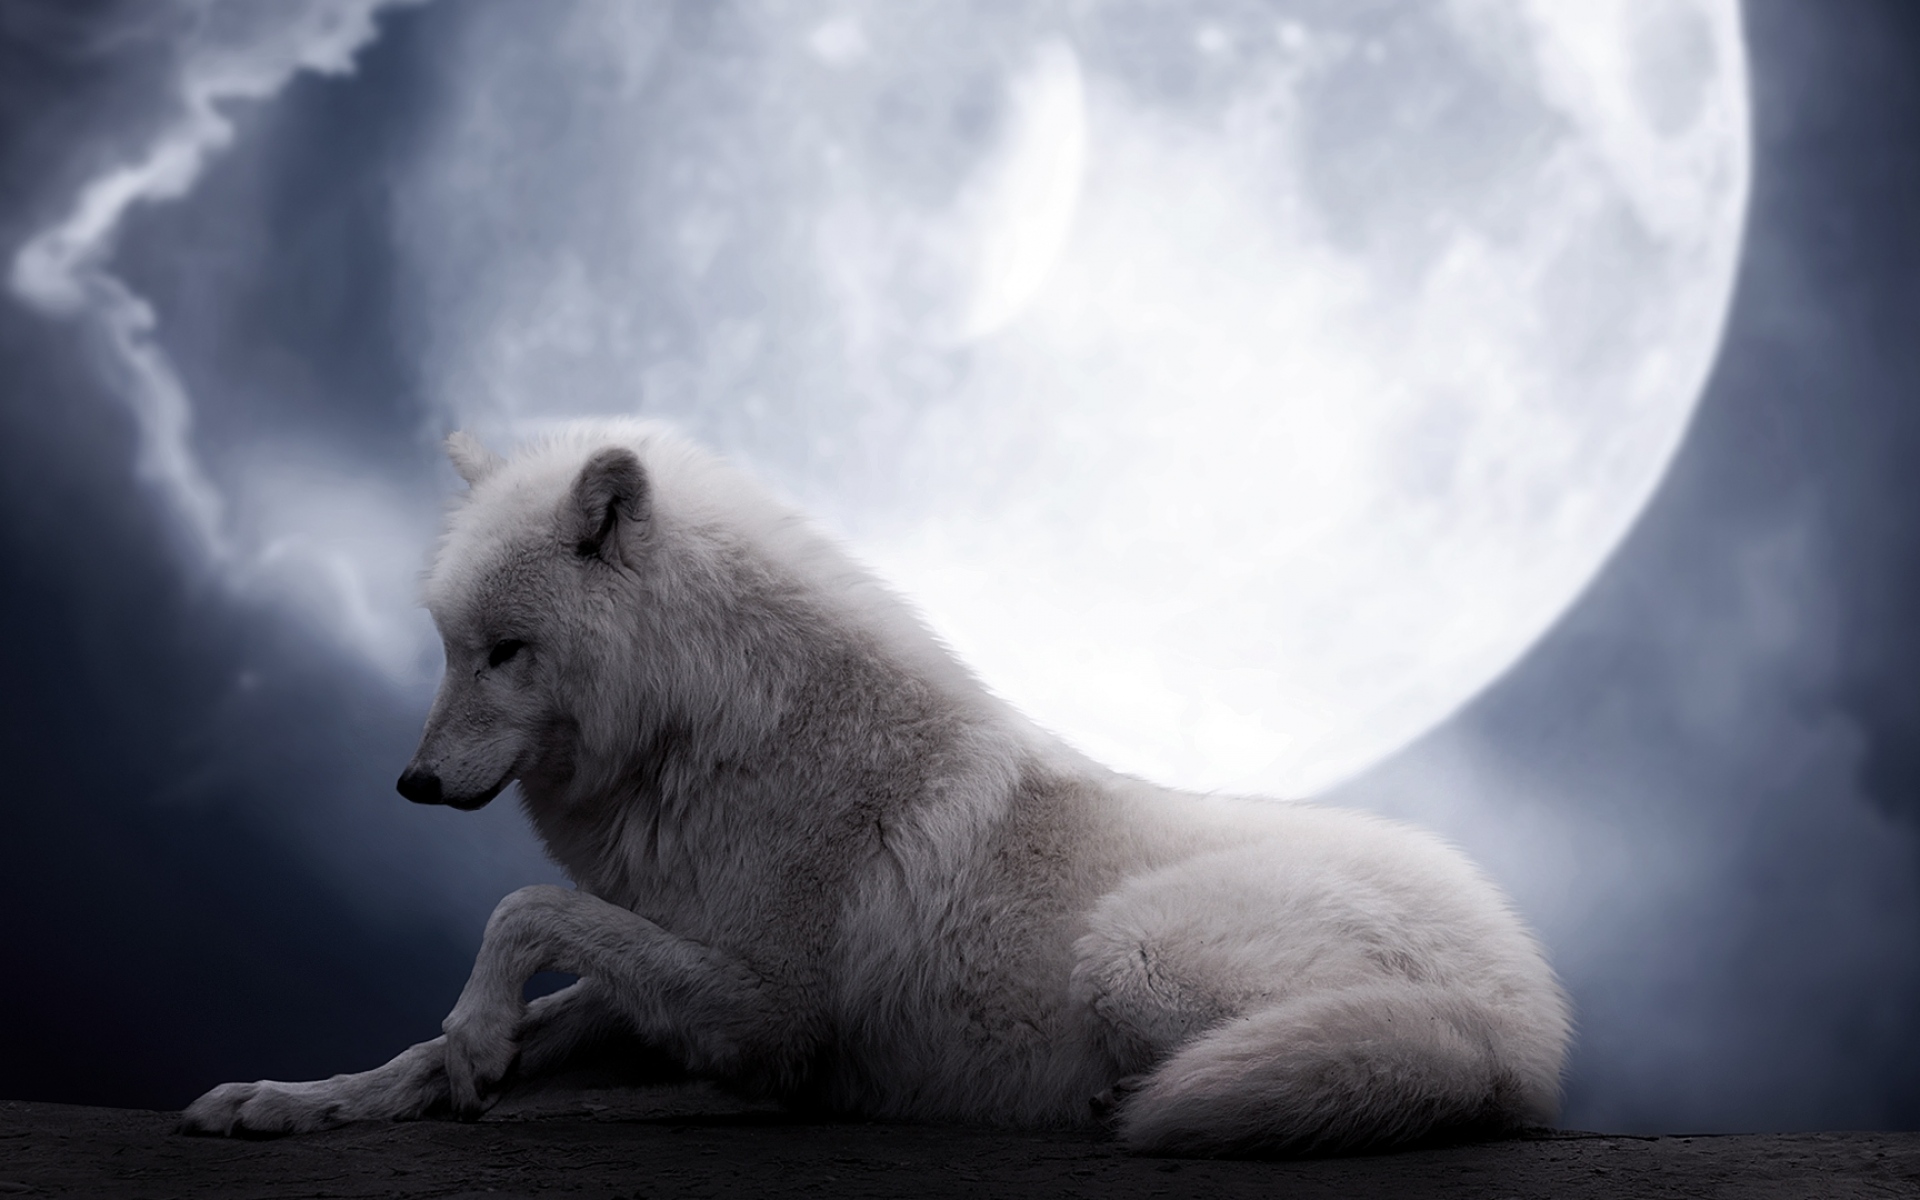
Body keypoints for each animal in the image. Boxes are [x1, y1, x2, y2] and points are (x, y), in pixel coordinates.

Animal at [182, 421, 1570, 1155]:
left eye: (506, 651)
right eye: (447, 645)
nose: (411, 784)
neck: (714, 734)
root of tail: (1527, 1013)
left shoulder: (771, 1012)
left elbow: (521, 911)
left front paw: (474, 1037)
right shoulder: (673, 972)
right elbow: (453, 1033)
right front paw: (302, 1098)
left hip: (1130, 952)